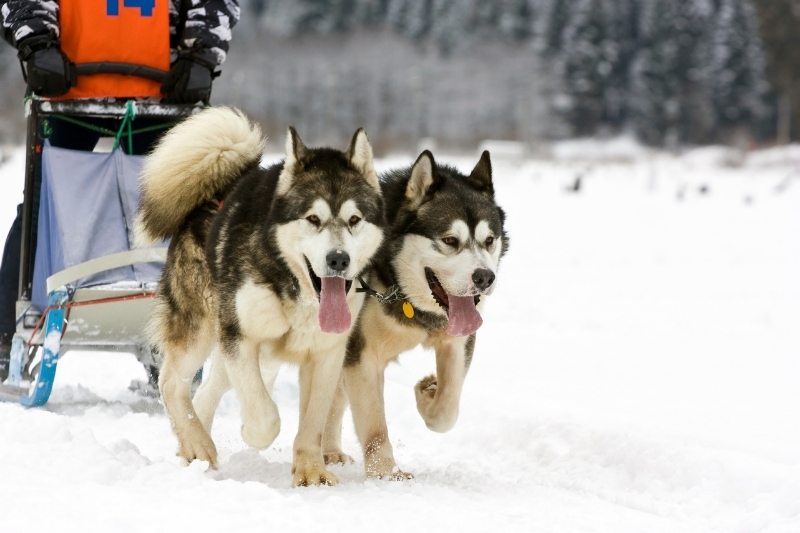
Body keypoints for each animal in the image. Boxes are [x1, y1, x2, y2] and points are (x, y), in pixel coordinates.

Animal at [136, 106, 386, 484]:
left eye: (354, 219)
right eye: (313, 219)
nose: (338, 259)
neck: (297, 290)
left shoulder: (327, 353)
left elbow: (313, 421)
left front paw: (311, 471)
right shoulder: (239, 337)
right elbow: (265, 417)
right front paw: (251, 432)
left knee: (206, 392)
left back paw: (193, 447)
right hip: (203, 328)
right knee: (172, 384)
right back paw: (198, 443)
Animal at [332, 151, 510, 478]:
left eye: (489, 240)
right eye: (450, 240)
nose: (485, 277)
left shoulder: (458, 340)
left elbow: (448, 409)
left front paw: (428, 394)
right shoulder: (362, 353)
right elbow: (375, 426)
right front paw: (386, 474)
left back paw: (330, 452)